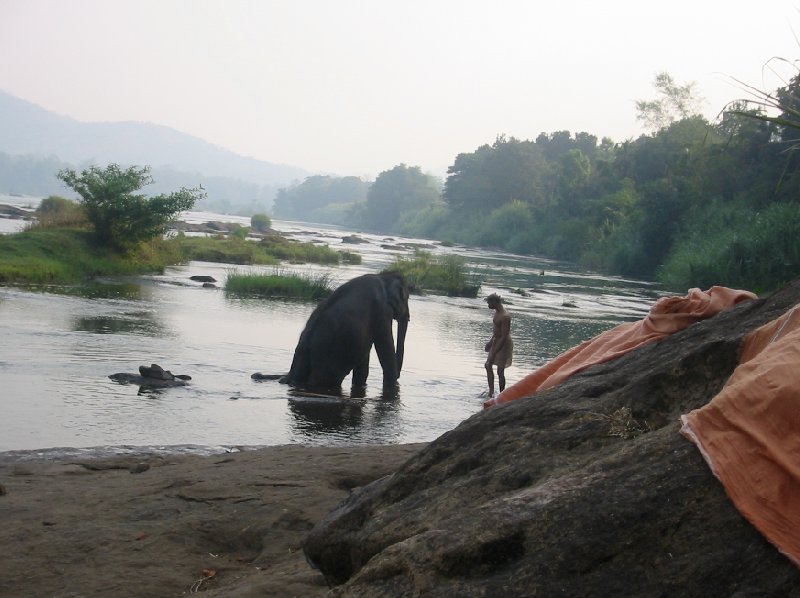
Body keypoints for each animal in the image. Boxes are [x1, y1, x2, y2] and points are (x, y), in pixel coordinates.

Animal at [262, 274, 410, 396]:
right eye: (406, 298)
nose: (407, 317)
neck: (383, 277)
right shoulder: (382, 312)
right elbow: (385, 350)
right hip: (327, 360)